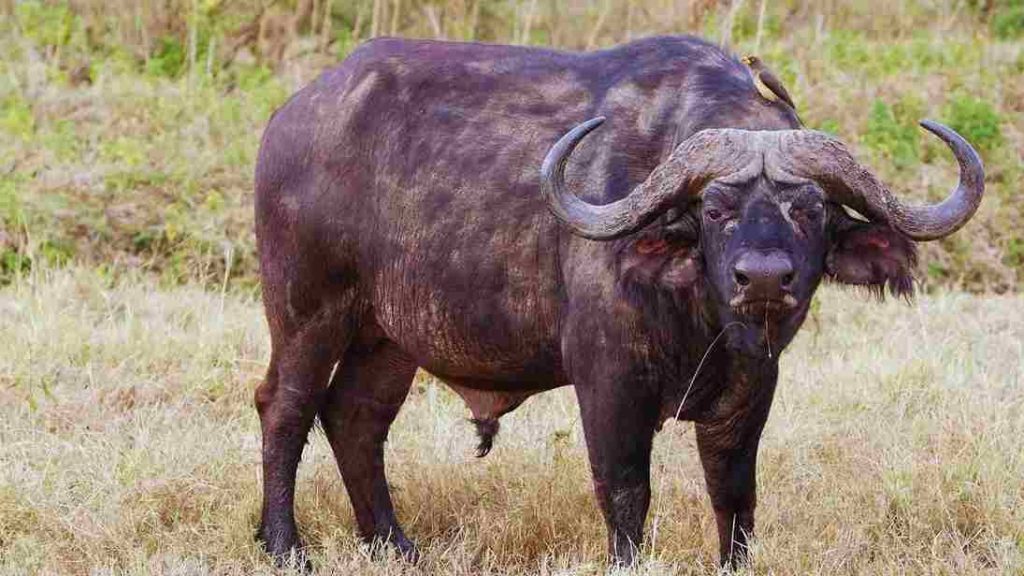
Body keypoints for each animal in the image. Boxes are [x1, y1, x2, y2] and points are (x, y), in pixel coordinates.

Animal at [253, 35, 983, 567]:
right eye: (715, 209)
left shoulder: (751, 389)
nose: (763, 278)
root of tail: (292, 118)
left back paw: (394, 545)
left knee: (356, 417)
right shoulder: (608, 382)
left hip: (387, 337)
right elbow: (626, 491)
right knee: (285, 408)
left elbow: (734, 495)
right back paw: (286, 547)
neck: (703, 320)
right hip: (308, 311)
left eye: (811, 210)